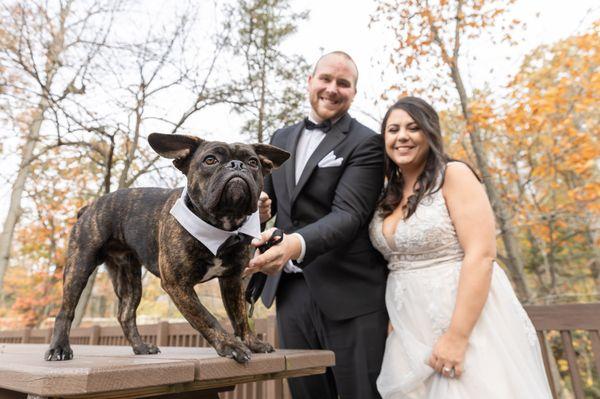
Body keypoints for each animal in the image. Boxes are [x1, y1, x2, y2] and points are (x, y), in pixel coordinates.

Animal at [45, 134, 290, 362]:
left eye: (253, 162)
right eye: (210, 160)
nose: (237, 165)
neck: (221, 226)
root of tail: (90, 206)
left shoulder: (232, 280)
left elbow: (239, 316)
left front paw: (251, 342)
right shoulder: (177, 284)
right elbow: (205, 316)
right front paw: (230, 345)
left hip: (129, 279)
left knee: (125, 314)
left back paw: (141, 347)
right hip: (80, 266)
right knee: (65, 311)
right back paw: (59, 348)